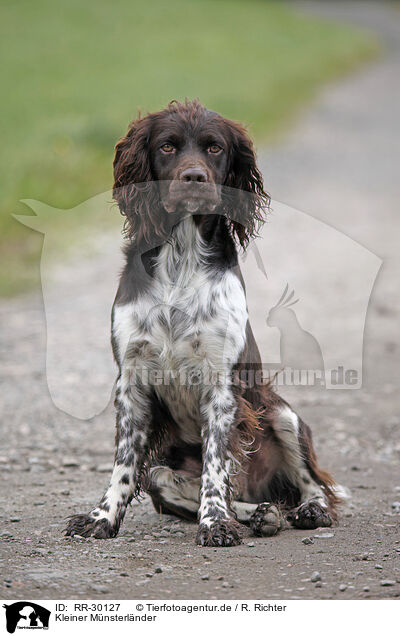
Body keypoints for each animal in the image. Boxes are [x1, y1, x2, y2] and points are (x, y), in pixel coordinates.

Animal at [66, 99, 340, 548]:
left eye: (214, 148)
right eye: (167, 146)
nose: (193, 177)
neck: (181, 256)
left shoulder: (221, 384)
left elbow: (216, 465)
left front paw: (215, 524)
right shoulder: (131, 379)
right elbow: (123, 464)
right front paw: (101, 518)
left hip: (282, 413)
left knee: (309, 483)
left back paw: (306, 509)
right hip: (161, 473)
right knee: (225, 493)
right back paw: (261, 514)